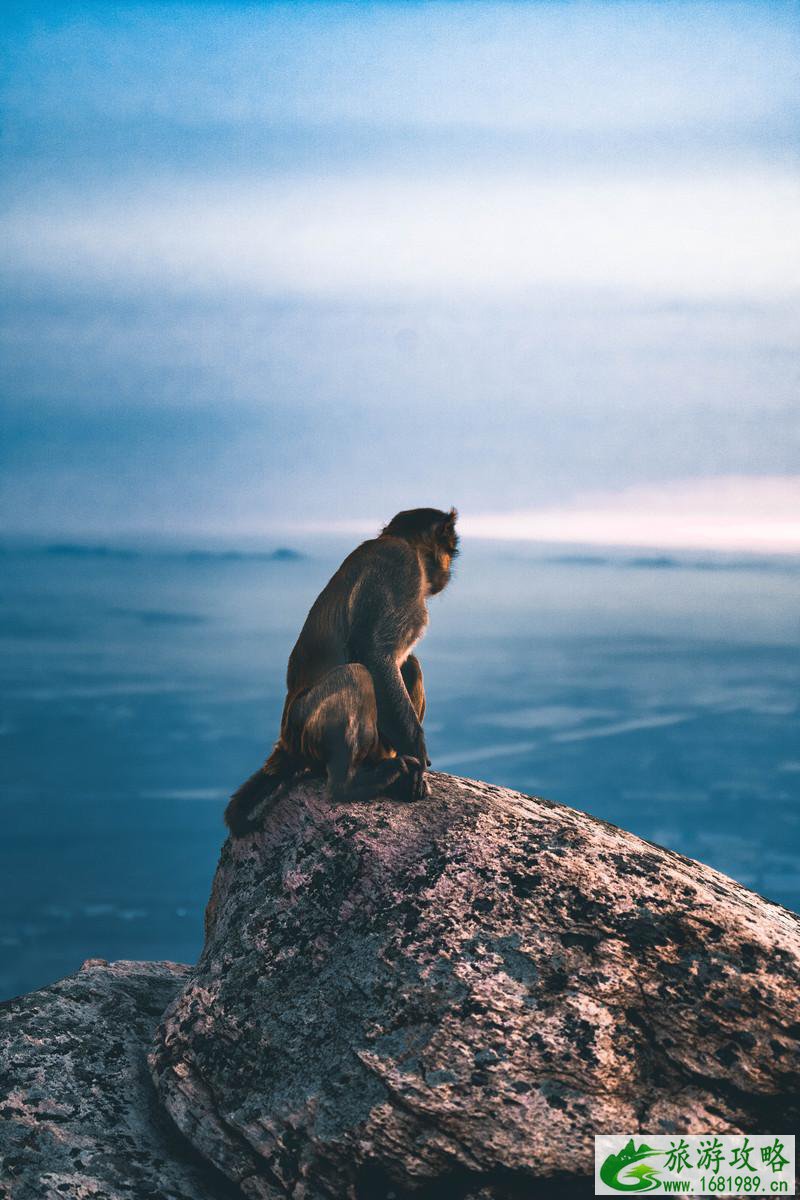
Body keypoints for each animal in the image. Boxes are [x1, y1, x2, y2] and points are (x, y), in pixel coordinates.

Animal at [226, 506, 462, 835]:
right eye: (450, 549)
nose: (448, 571)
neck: (405, 545)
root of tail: (285, 745)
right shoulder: (398, 564)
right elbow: (374, 654)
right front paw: (416, 749)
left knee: (410, 665)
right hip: (304, 728)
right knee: (356, 675)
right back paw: (349, 786)